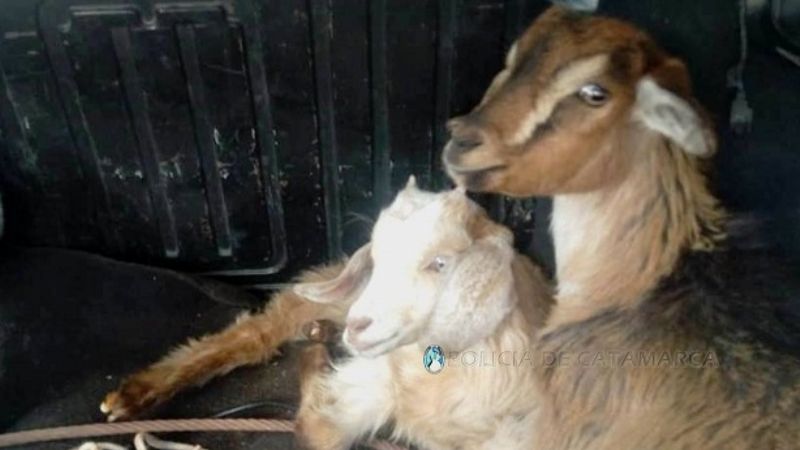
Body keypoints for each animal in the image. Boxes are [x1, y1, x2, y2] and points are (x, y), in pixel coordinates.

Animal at [102, 178, 553, 450]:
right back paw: (138, 392)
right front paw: (315, 361)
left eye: (440, 263)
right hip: (336, 295)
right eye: (377, 254)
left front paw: (317, 359)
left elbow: (320, 429)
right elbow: (317, 428)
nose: (359, 325)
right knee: (266, 327)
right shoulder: (372, 381)